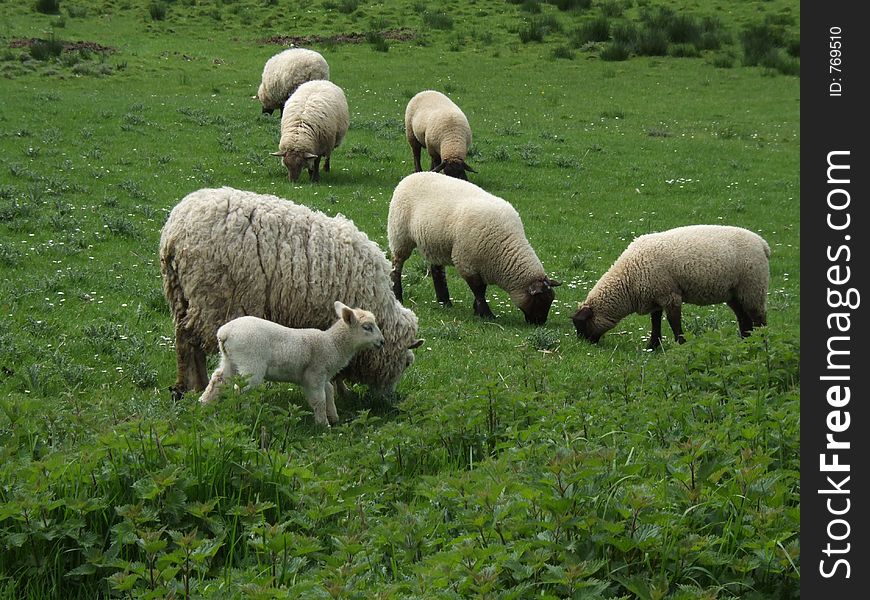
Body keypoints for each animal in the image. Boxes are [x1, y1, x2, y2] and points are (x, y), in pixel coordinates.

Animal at [163, 186, 426, 404]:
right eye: (405, 363)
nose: (387, 400)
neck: (378, 300)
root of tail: (173, 232)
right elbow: (336, 366)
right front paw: (342, 391)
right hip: (212, 298)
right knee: (192, 341)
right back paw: (198, 385)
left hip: (180, 295)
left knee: (182, 340)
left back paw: (183, 386)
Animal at [203, 300, 386, 426]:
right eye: (367, 327)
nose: (382, 342)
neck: (333, 344)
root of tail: (224, 333)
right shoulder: (315, 373)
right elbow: (319, 399)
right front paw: (323, 424)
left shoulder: (323, 376)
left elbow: (329, 391)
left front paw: (334, 417)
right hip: (251, 362)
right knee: (242, 389)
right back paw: (245, 416)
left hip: (230, 359)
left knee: (217, 380)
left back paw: (205, 405)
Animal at [386, 171, 564, 326]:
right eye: (540, 299)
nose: (540, 323)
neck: (505, 247)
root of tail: (413, 175)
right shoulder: (466, 263)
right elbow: (478, 290)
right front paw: (486, 314)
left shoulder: (482, 265)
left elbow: (482, 289)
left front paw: (477, 310)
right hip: (400, 235)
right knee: (396, 266)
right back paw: (398, 295)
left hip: (434, 242)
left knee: (437, 270)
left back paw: (445, 301)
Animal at [576, 225, 772, 350]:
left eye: (581, 324)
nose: (582, 345)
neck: (628, 279)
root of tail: (762, 243)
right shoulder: (654, 295)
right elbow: (655, 321)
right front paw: (653, 346)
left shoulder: (669, 294)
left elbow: (674, 321)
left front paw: (681, 345)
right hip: (735, 293)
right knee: (744, 320)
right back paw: (745, 343)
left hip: (753, 286)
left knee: (759, 318)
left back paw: (761, 343)